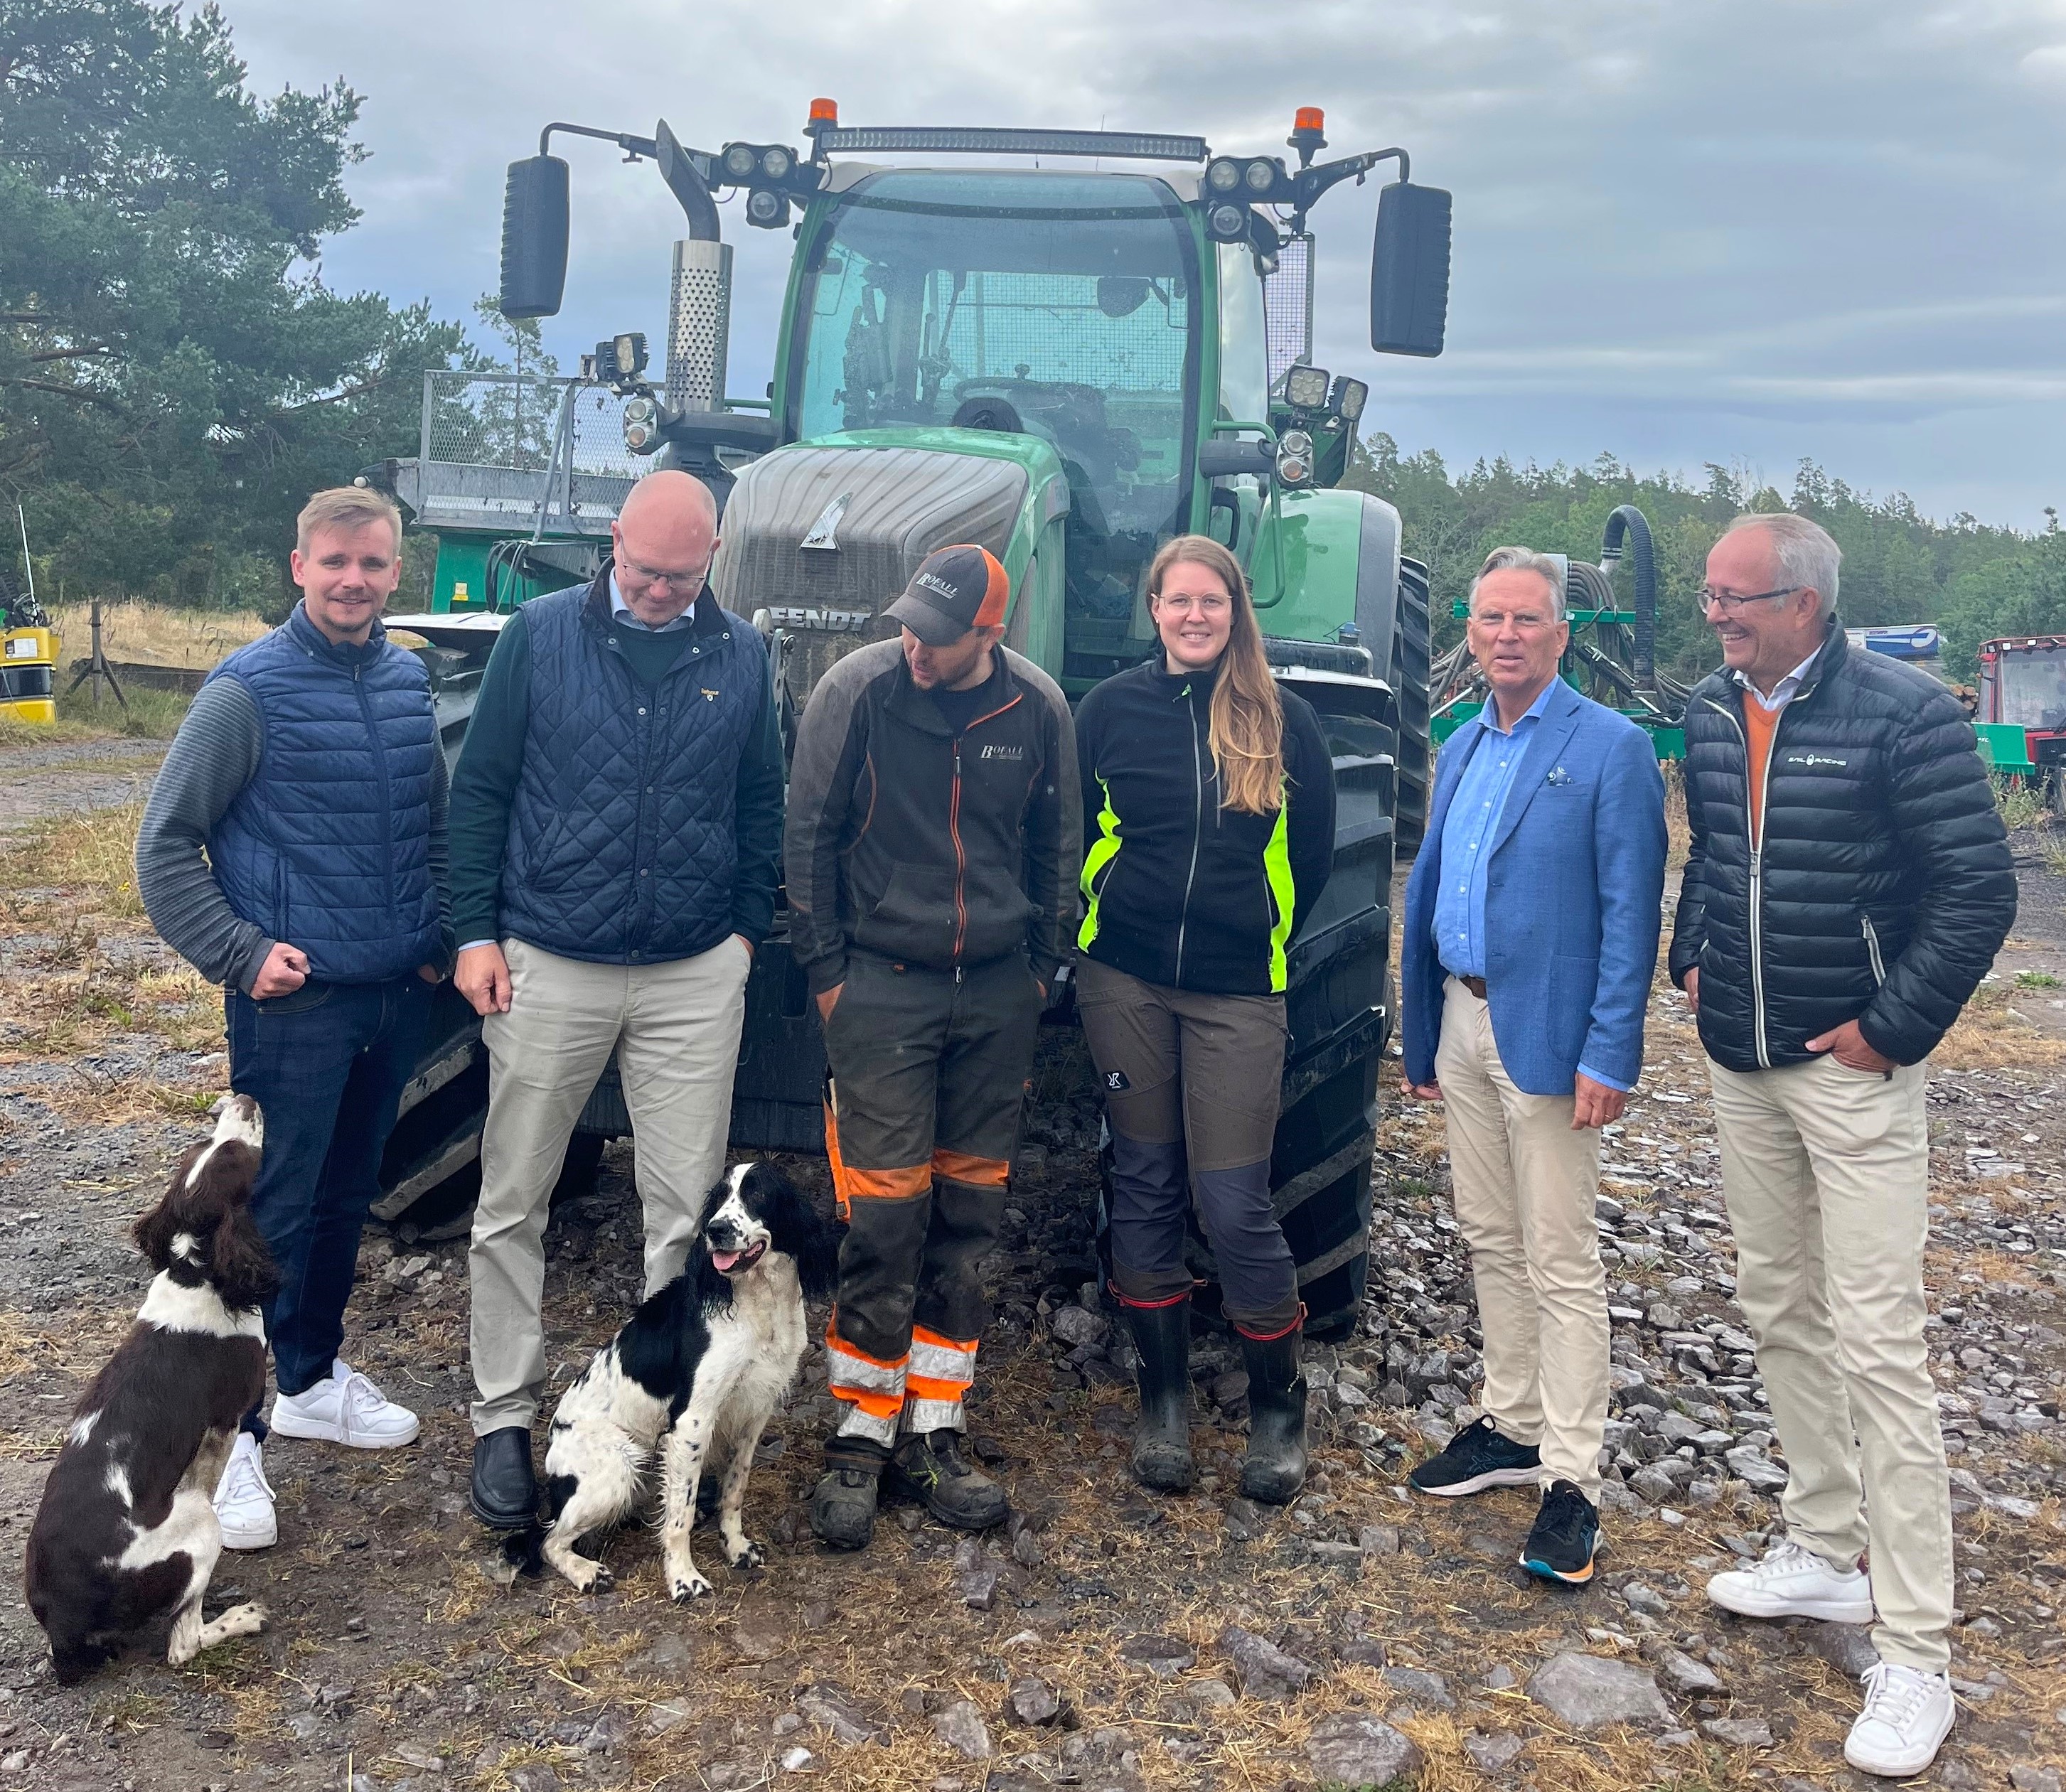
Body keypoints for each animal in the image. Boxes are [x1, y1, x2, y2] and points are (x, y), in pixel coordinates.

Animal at [26, 1096, 276, 1683]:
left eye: (206, 1143)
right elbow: (213, 1470)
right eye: (233, 1153)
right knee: (183, 1640)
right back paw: (242, 1617)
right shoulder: (227, 1419)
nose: (243, 1100)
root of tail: (64, 1625)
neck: (197, 1271)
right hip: (197, 1527)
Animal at [532, 1161, 838, 1601]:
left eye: (758, 1194)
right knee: (549, 1541)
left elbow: (735, 1488)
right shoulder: (692, 1421)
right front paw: (683, 1577)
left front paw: (736, 1547)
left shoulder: (754, 1413)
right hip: (618, 1467)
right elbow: (681, 1517)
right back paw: (587, 1572)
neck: (757, 1303)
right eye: (720, 1198)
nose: (716, 1229)